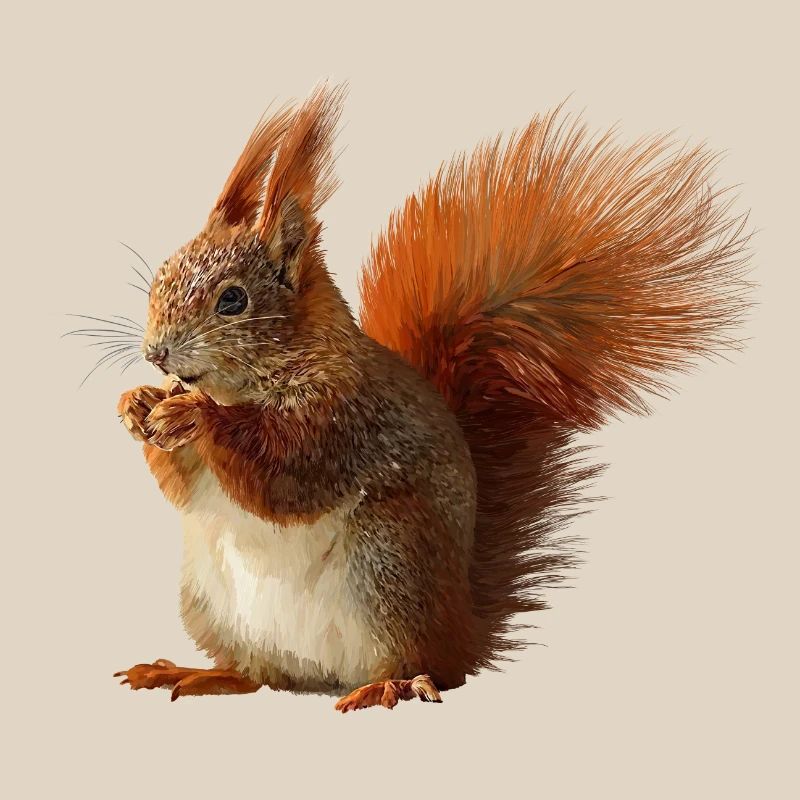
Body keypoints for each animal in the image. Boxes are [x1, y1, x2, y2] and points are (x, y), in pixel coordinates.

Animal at [110, 83, 750, 711]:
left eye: (233, 300)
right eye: (162, 272)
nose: (156, 353)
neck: (247, 385)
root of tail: (462, 627)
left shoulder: (343, 419)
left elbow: (283, 474)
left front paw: (195, 414)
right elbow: (182, 487)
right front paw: (137, 403)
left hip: (390, 561)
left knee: (429, 668)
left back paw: (389, 686)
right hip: (211, 600)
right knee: (259, 674)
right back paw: (197, 673)